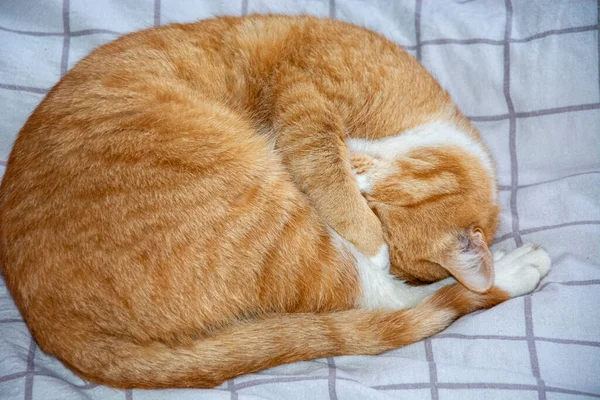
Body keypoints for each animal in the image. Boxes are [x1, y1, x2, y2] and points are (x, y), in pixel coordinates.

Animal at [0, 14, 552, 390]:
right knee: (381, 297)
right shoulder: (306, 99)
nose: (359, 178)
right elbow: (323, 160)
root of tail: (57, 330)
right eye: (372, 210)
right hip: (273, 217)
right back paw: (512, 270)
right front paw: (364, 230)